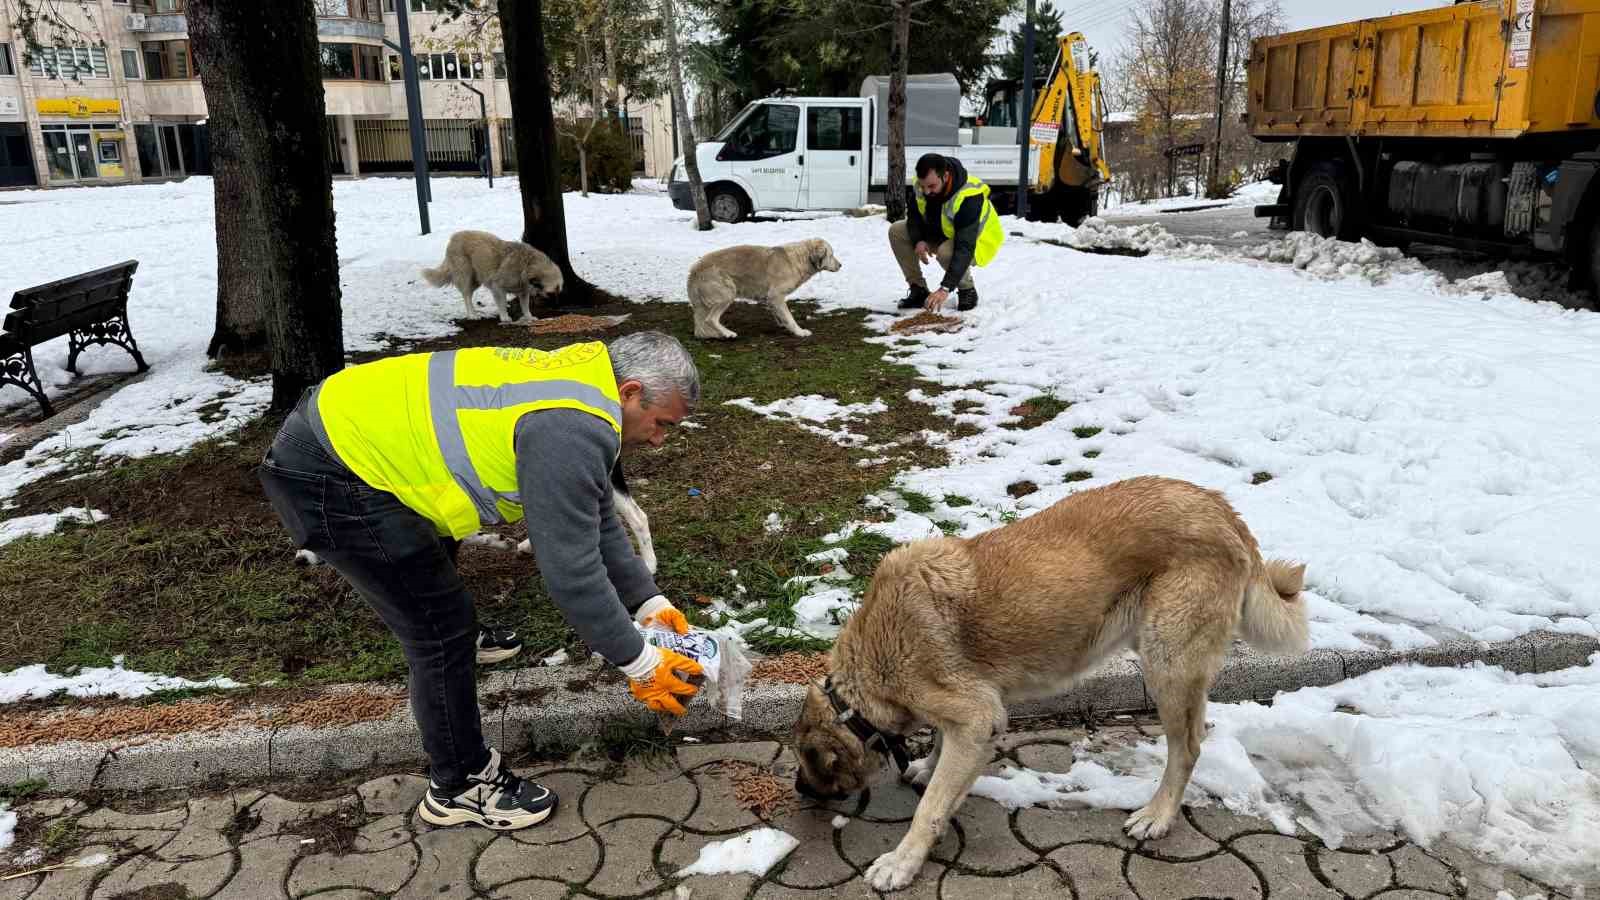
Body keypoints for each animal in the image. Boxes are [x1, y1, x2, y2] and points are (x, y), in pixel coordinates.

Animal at [419, 227, 563, 321]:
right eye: (552, 292)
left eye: (558, 290)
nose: (558, 306)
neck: (527, 265)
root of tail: (453, 238)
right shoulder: (498, 287)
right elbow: (503, 304)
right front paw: (505, 318)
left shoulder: (523, 291)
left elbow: (525, 306)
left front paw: (529, 317)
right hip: (466, 276)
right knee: (466, 295)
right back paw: (472, 315)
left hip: (477, 279)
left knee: (469, 295)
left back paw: (474, 311)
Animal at [684, 237, 844, 337]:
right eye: (831, 255)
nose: (841, 265)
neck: (799, 260)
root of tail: (694, 271)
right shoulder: (776, 296)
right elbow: (790, 317)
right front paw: (799, 332)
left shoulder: (770, 299)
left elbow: (780, 314)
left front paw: (783, 324)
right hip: (728, 293)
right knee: (710, 320)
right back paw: (728, 333)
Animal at [793, 477, 1305, 890]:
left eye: (804, 761)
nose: (799, 789)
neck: (864, 679)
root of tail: (1223, 509)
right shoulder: (969, 717)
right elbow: (940, 748)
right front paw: (928, 765)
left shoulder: (976, 718)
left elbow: (930, 808)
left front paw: (902, 862)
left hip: (1167, 667)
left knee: (1188, 748)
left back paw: (1157, 816)